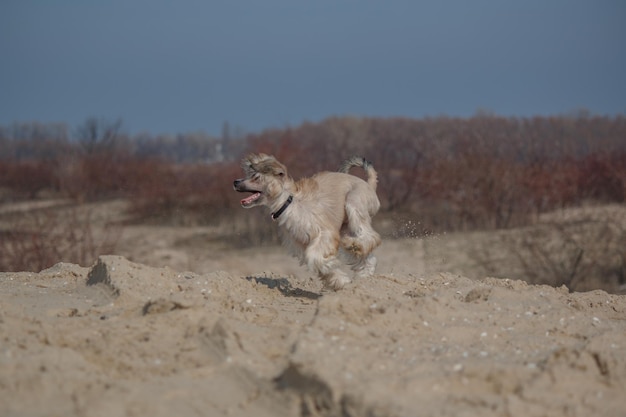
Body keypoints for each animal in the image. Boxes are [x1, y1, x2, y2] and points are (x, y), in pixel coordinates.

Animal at [233, 153, 380, 290]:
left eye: (256, 177)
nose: (235, 182)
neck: (289, 203)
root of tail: (369, 184)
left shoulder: (325, 233)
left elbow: (313, 256)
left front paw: (328, 265)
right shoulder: (301, 245)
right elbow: (317, 263)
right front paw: (339, 280)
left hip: (353, 203)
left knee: (370, 237)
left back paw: (354, 245)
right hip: (345, 228)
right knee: (368, 253)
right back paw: (364, 275)